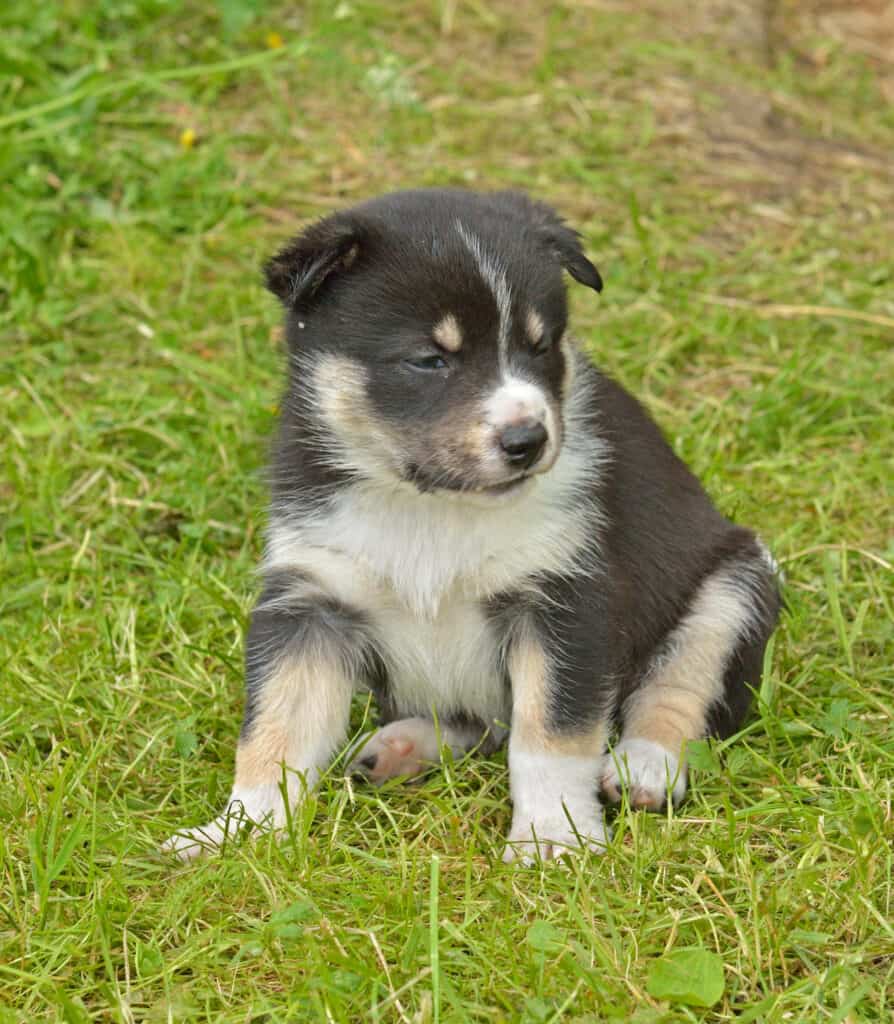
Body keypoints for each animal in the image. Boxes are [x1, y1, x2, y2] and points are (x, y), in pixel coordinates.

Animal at [163, 188, 778, 860]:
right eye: (430, 359)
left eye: (541, 346)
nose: (528, 441)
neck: (430, 505)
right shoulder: (311, 600)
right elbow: (275, 732)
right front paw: (237, 833)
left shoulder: (564, 599)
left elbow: (550, 739)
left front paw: (551, 839)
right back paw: (399, 747)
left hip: (735, 585)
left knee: (678, 692)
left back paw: (644, 766)